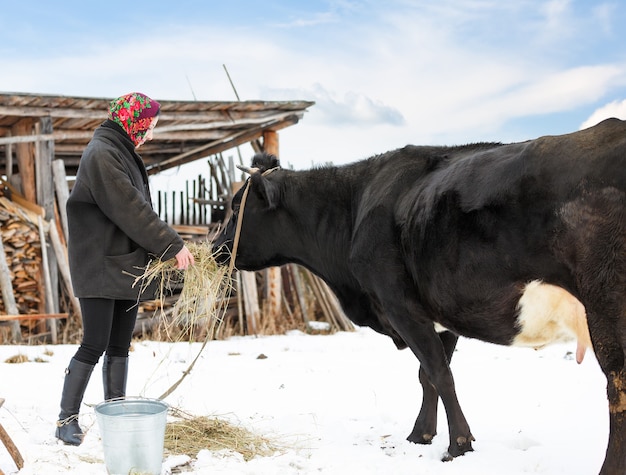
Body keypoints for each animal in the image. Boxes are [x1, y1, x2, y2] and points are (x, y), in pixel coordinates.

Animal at [212, 118, 620, 475]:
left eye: (236, 208)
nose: (214, 247)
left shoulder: (400, 304)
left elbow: (439, 373)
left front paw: (458, 446)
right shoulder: (444, 311)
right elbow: (429, 374)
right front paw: (421, 435)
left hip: (606, 308)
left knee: (617, 387)